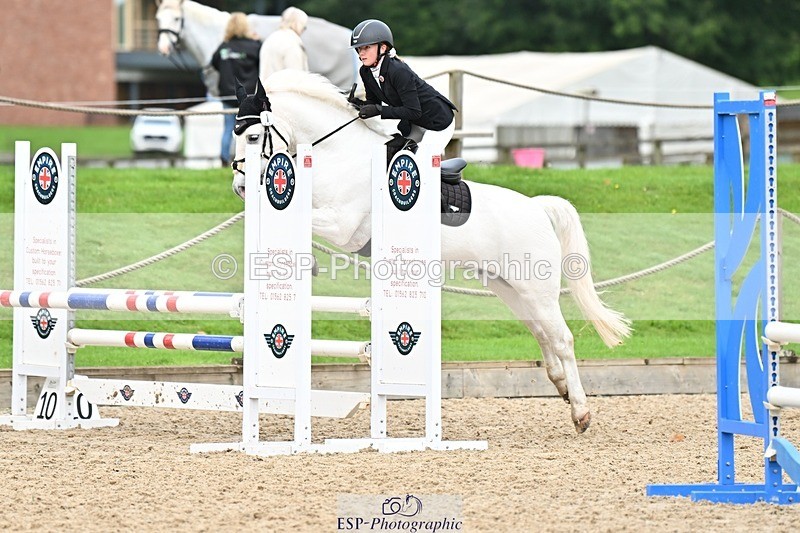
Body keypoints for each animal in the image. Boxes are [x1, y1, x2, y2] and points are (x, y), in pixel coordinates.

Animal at [230, 70, 632, 433]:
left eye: (253, 136)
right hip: (509, 287)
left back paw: (581, 413)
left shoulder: (343, 226)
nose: (240, 187)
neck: (339, 155)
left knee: (561, 338)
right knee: (541, 331)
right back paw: (561, 387)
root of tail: (538, 207)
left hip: (535, 287)